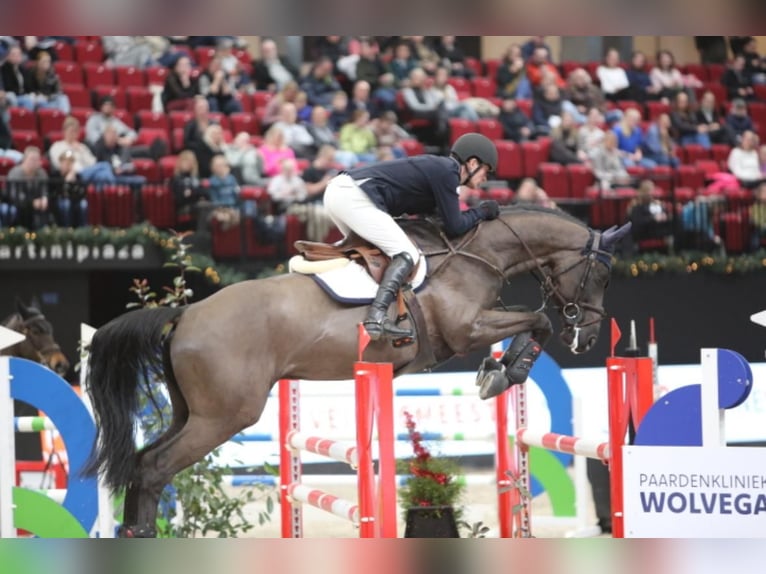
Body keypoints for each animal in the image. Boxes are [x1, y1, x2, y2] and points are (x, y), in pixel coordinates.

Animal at [87, 208, 632, 540]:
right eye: (604, 276)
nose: (586, 336)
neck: (478, 254)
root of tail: (186, 314)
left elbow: (530, 319)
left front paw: (499, 369)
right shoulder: (467, 329)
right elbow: (537, 320)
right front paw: (505, 372)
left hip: (192, 413)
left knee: (143, 463)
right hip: (222, 416)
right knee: (154, 468)